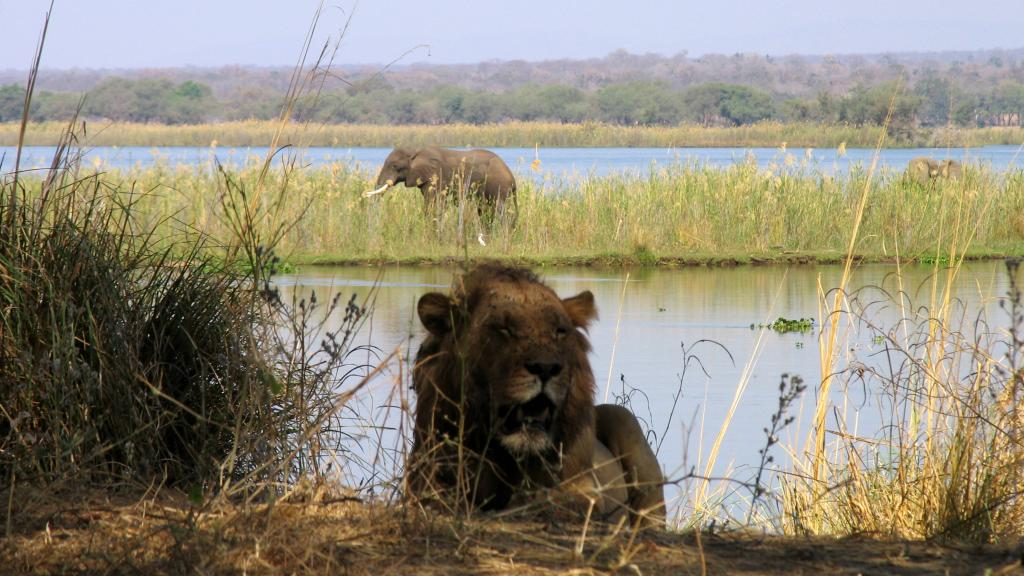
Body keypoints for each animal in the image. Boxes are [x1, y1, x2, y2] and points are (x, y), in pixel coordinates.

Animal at [362, 145, 520, 222]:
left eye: (395, 166)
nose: (363, 194)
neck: (414, 150)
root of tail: (512, 177)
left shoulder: (436, 176)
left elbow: (433, 202)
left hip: (498, 184)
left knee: (496, 208)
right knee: (484, 208)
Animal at [403, 262, 667, 528]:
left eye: (559, 331)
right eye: (504, 329)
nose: (545, 368)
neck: (505, 455)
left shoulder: (584, 489)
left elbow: (552, 501)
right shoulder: (426, 481)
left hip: (624, 418)